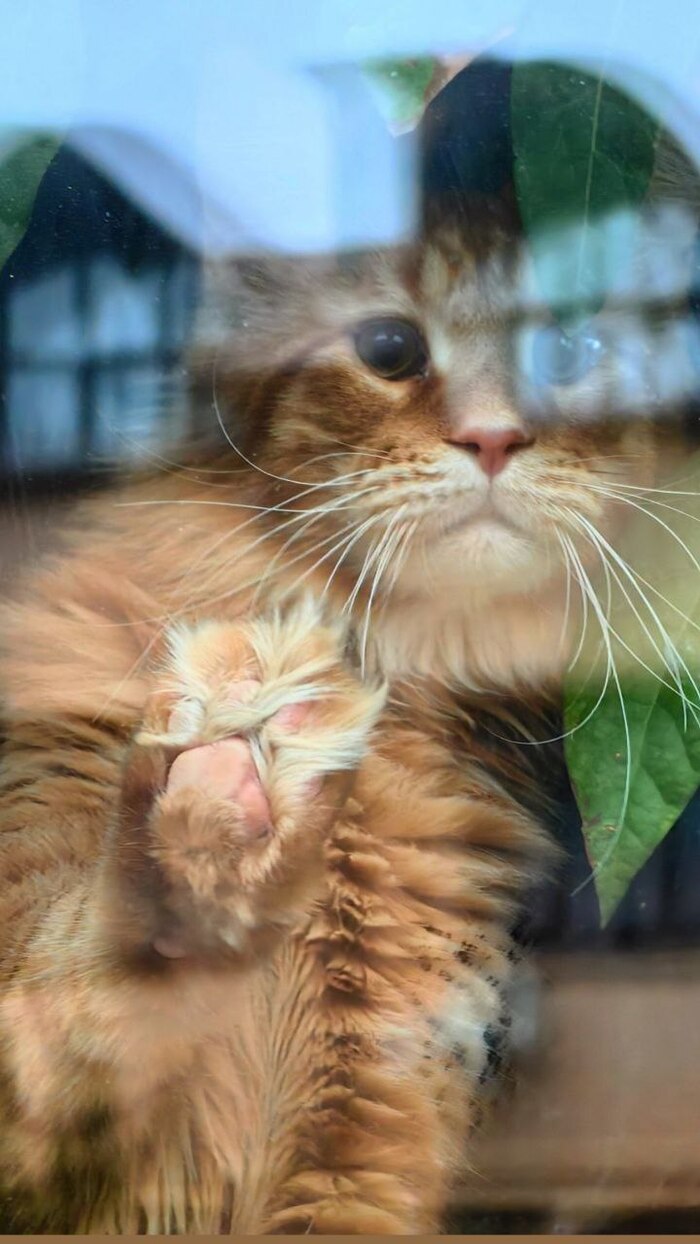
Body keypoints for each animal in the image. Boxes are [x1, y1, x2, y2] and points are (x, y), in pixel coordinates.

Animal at [0, 60, 699, 1233]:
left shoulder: (358, 1142)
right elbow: (91, 977)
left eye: (568, 352)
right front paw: (224, 785)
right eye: (389, 349)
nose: (495, 437)